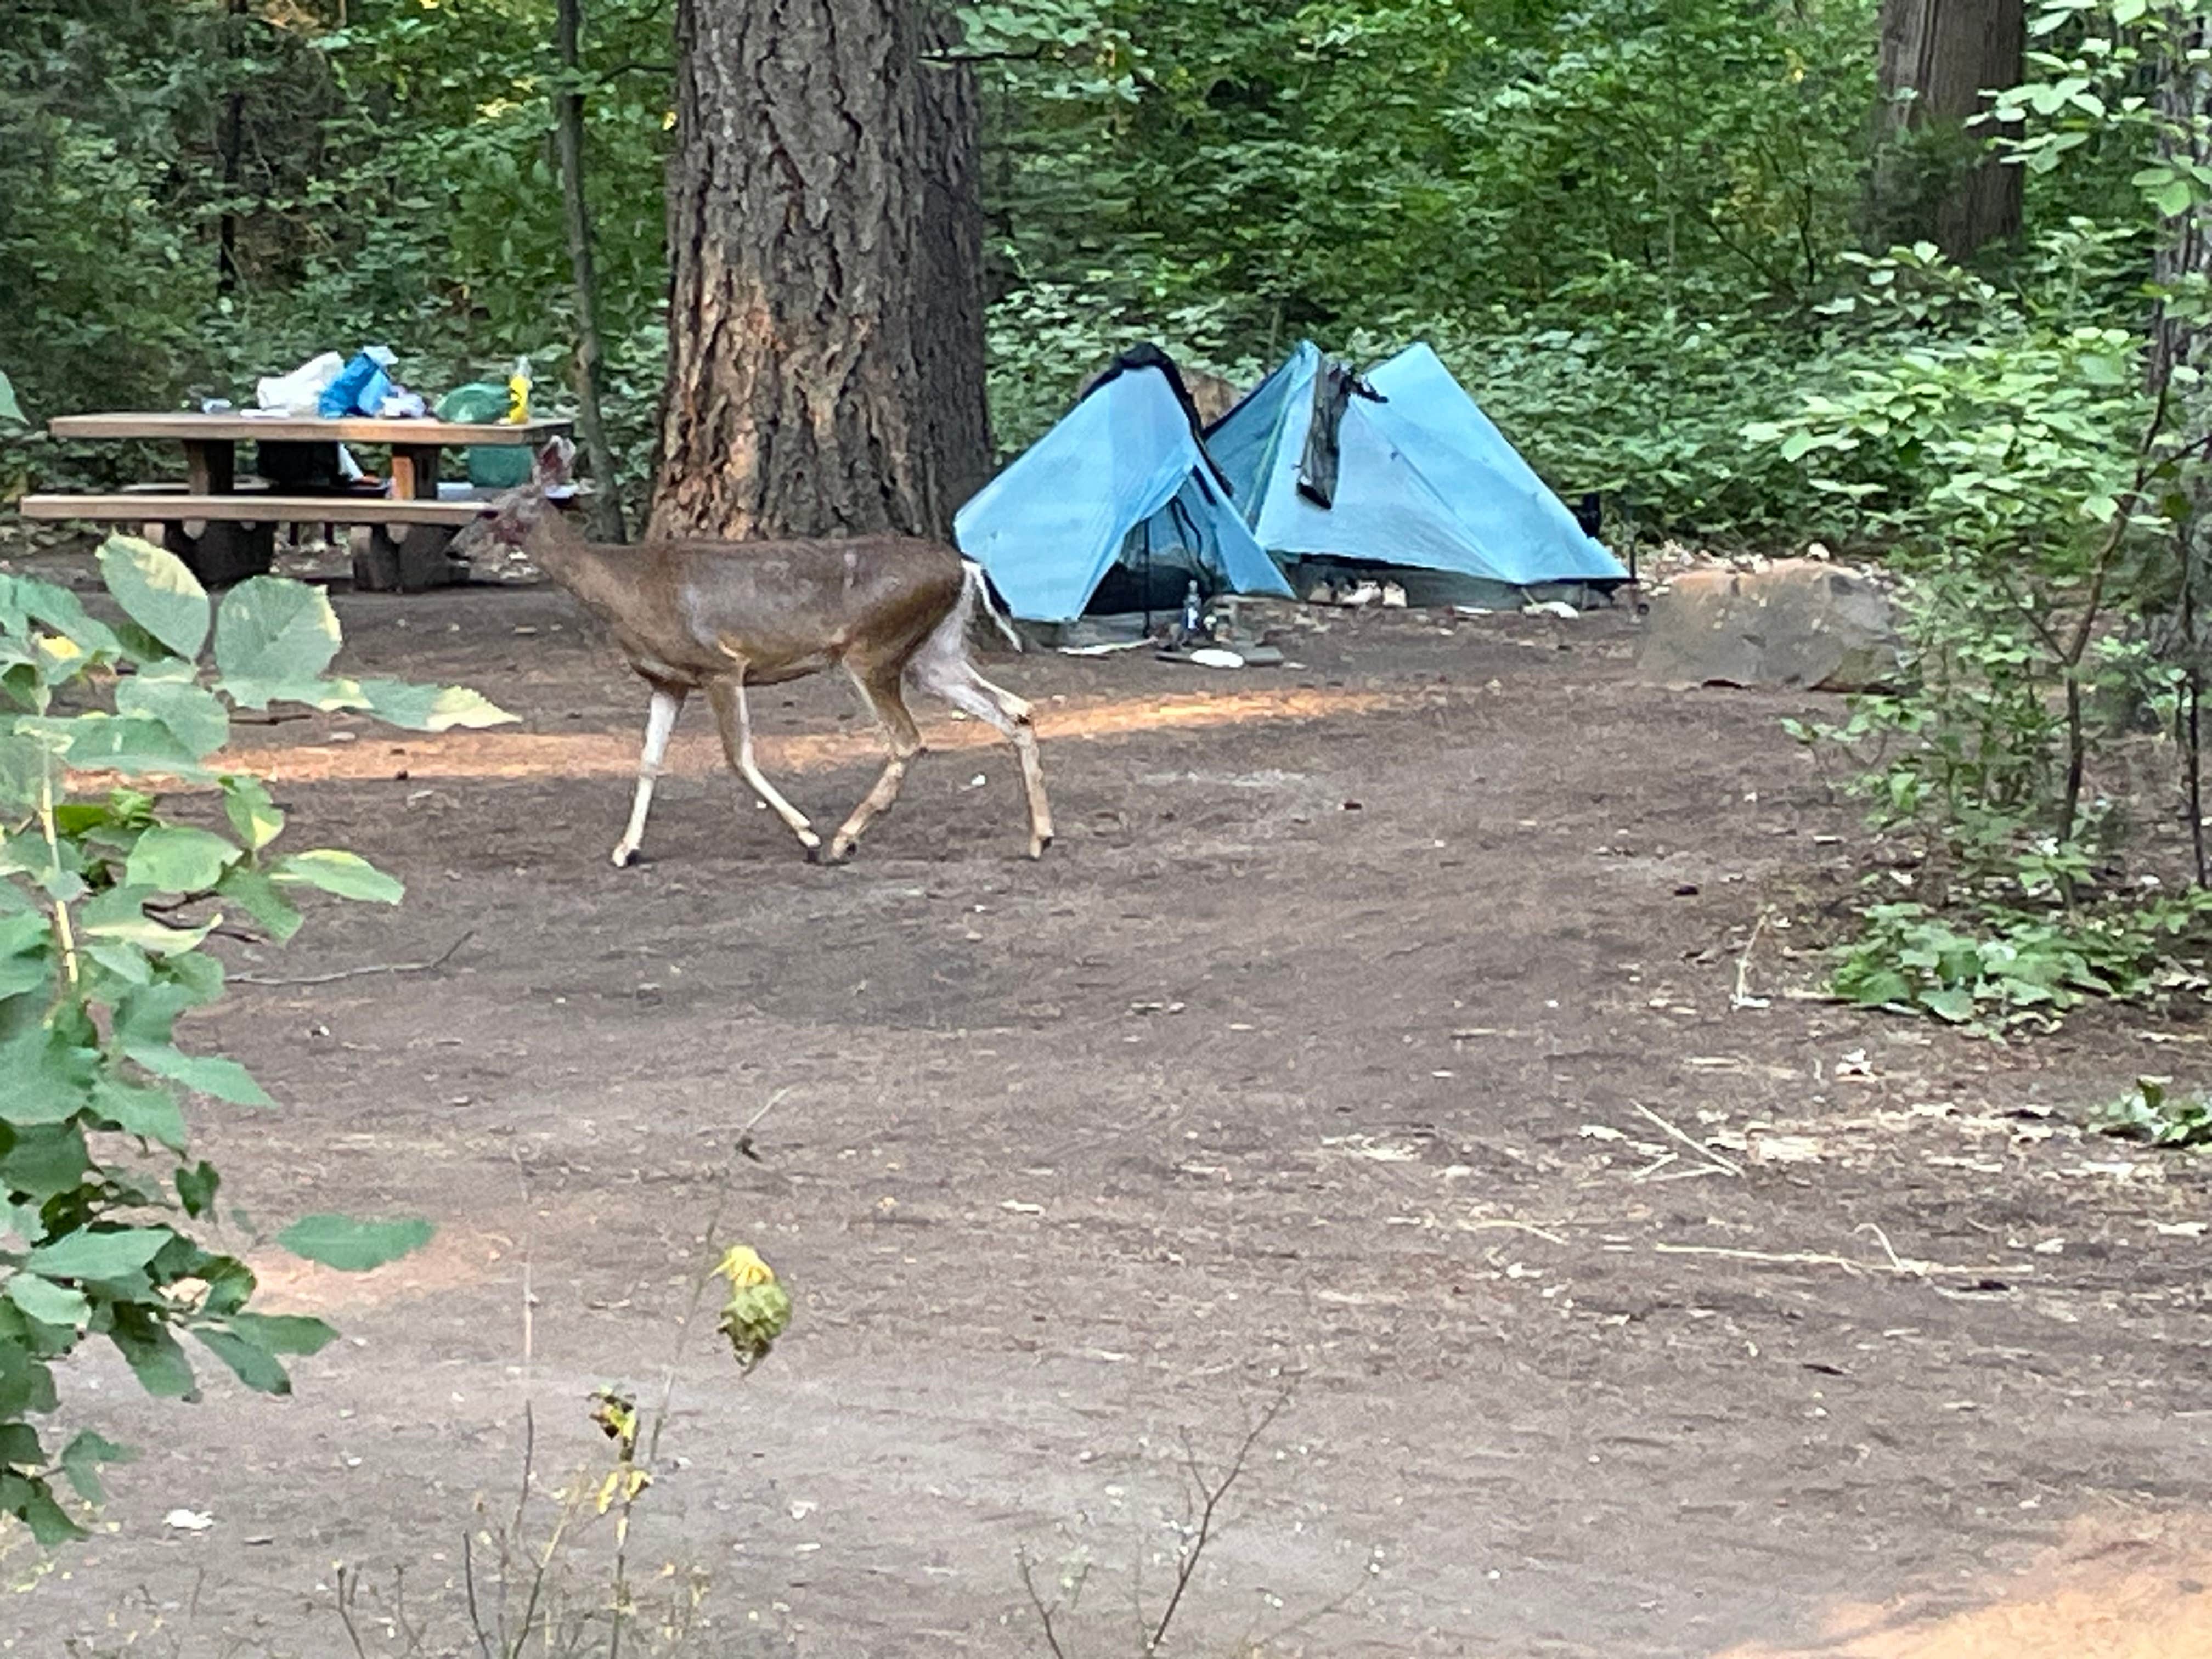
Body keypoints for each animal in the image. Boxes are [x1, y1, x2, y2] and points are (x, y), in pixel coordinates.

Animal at [456, 439, 1052, 868]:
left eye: (489, 510)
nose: (455, 548)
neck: (626, 590)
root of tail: (966, 567)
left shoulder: (720, 664)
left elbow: (738, 757)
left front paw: (807, 835)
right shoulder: (668, 680)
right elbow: (648, 761)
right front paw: (626, 849)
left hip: (873, 649)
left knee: (909, 740)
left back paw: (842, 840)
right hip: (935, 653)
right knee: (1016, 710)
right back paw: (1039, 837)